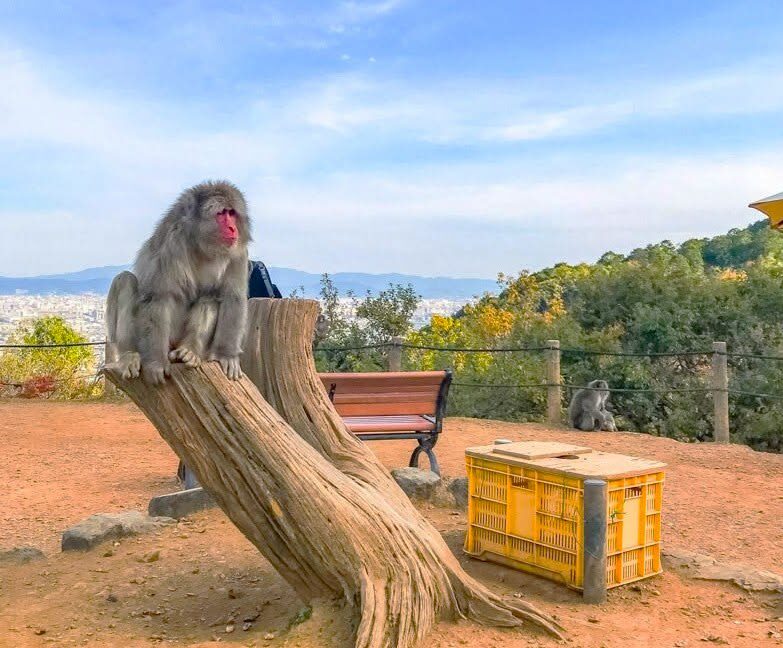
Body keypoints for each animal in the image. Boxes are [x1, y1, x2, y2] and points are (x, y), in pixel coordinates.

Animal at [106, 180, 251, 385]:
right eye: (221, 213)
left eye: (232, 213)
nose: (233, 229)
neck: (203, 246)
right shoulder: (172, 243)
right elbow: (159, 297)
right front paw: (156, 363)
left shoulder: (239, 252)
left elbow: (233, 296)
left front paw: (226, 355)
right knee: (125, 280)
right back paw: (129, 355)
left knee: (210, 296)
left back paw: (190, 351)